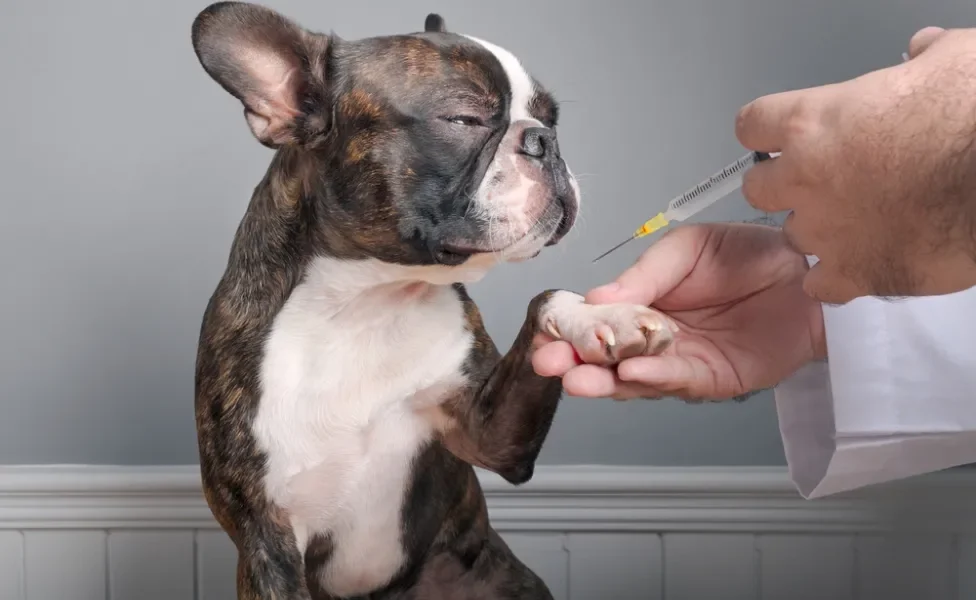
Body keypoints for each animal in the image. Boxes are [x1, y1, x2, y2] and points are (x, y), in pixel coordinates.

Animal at [191, 2, 680, 596]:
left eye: (552, 118)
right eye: (463, 120)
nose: (545, 140)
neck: (367, 300)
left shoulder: (487, 435)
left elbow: (543, 299)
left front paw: (600, 317)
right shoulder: (266, 539)